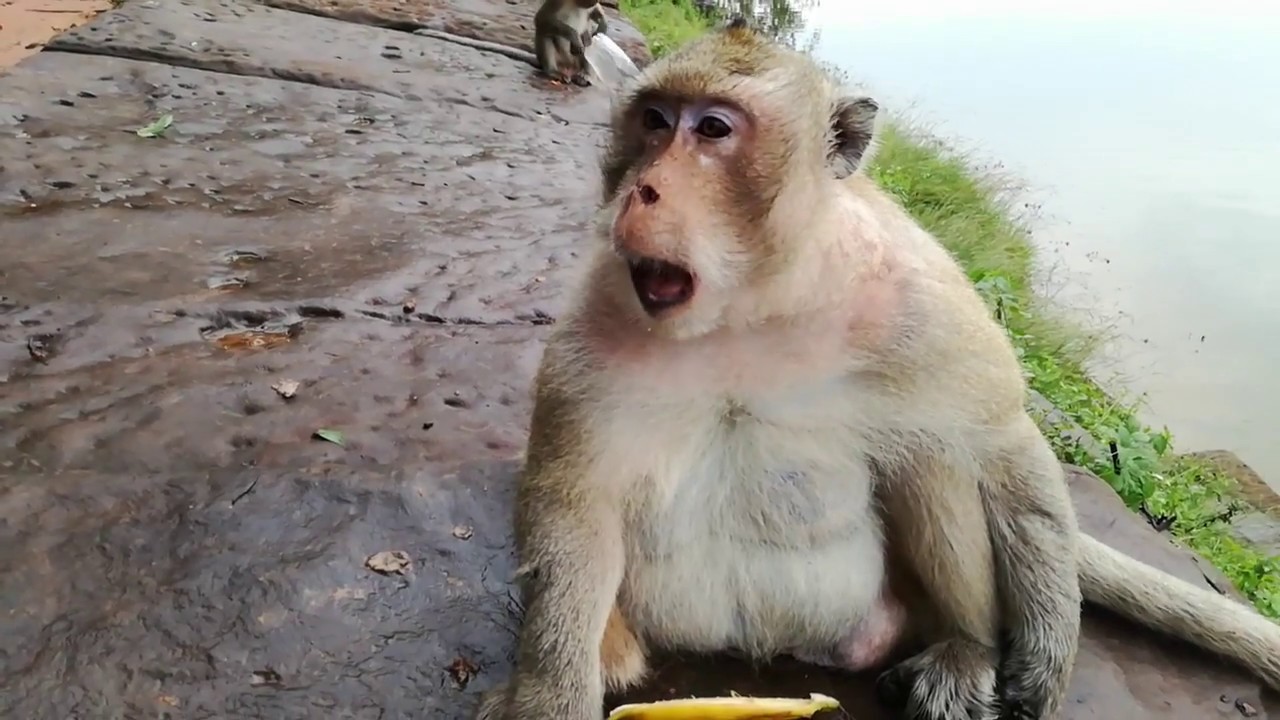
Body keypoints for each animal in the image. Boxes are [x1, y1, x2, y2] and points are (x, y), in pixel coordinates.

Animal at [475, 16, 1280, 720]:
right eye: (651, 120)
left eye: (713, 130)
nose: (643, 190)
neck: (752, 304)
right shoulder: (596, 316)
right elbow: (573, 496)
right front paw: (547, 695)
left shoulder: (919, 291)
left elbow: (1000, 436)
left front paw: (1047, 651)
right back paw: (609, 647)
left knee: (936, 459)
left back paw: (965, 649)